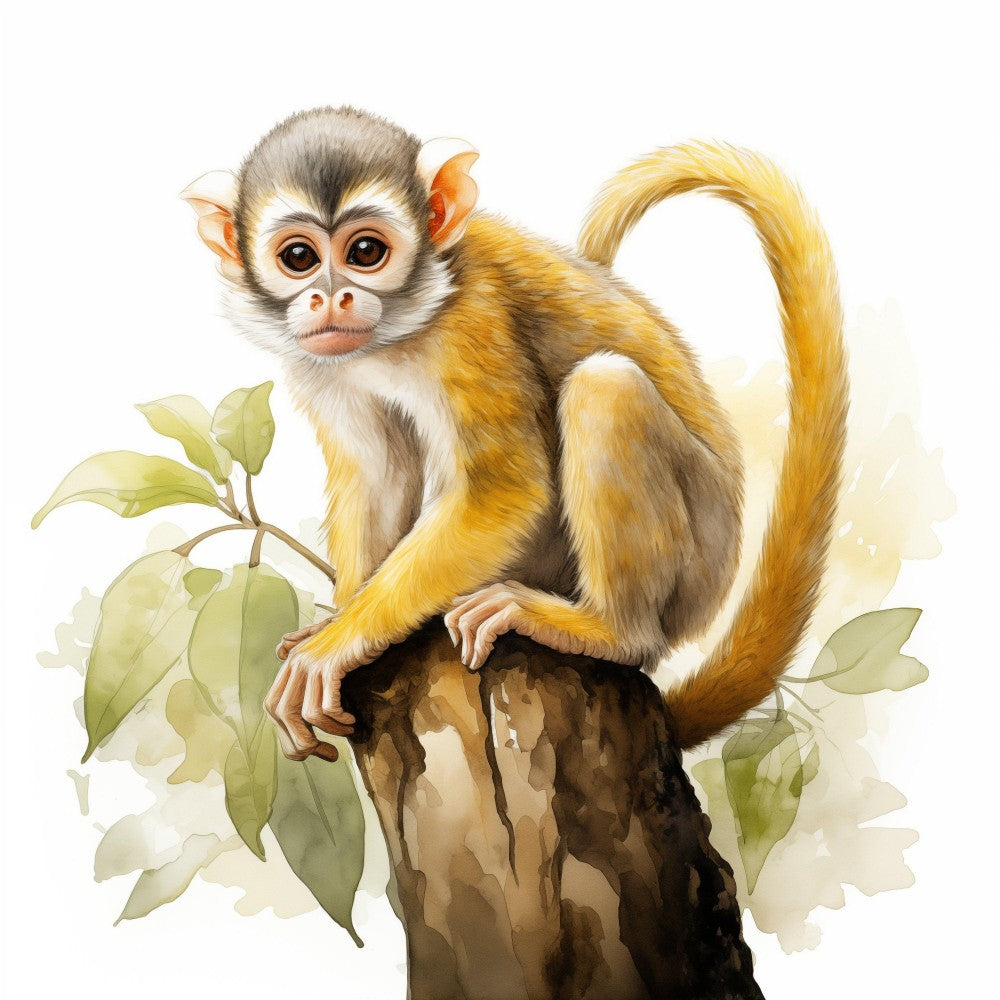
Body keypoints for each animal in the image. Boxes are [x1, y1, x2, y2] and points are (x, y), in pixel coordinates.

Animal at [182, 106, 847, 763]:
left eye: (366, 250)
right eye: (298, 257)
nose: (331, 297)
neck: (404, 324)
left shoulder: (472, 321)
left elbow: (505, 490)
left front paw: (333, 647)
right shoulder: (320, 360)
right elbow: (378, 472)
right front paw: (338, 622)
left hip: (701, 552)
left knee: (604, 390)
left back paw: (611, 632)